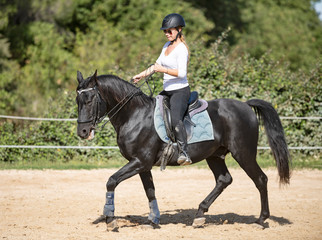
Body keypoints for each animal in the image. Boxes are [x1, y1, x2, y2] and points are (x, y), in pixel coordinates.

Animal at [76, 70, 290, 229]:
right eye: (78, 101)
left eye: (90, 100)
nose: (82, 132)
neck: (135, 115)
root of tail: (245, 105)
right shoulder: (143, 165)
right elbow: (150, 191)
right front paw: (153, 220)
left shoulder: (140, 162)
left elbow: (111, 181)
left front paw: (110, 219)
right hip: (215, 156)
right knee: (224, 180)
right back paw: (200, 215)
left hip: (244, 154)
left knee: (260, 179)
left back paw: (261, 219)